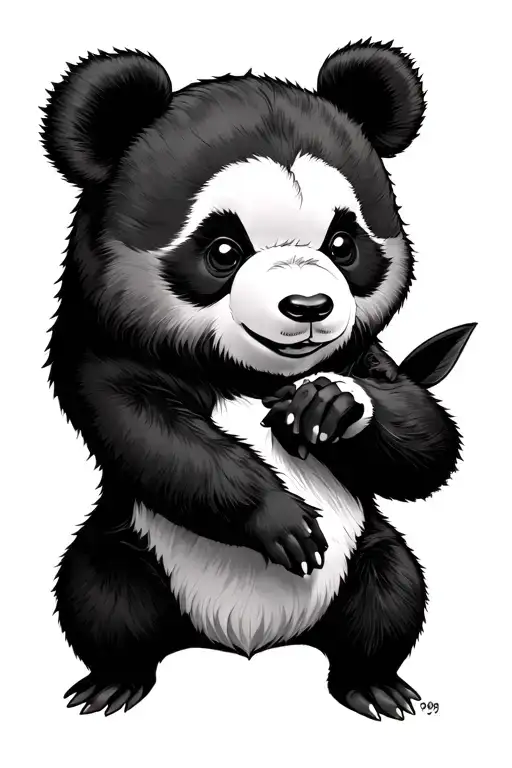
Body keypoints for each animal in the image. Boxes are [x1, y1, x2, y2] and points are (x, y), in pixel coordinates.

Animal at [41, 41, 475, 722]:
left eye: (343, 242)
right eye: (223, 249)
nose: (308, 306)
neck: (247, 375)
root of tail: (245, 641)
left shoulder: (364, 356)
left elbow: (424, 438)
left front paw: (330, 405)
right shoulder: (102, 347)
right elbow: (150, 432)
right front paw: (284, 521)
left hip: (365, 556)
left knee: (391, 593)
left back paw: (373, 684)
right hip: (132, 546)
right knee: (102, 593)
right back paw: (115, 681)